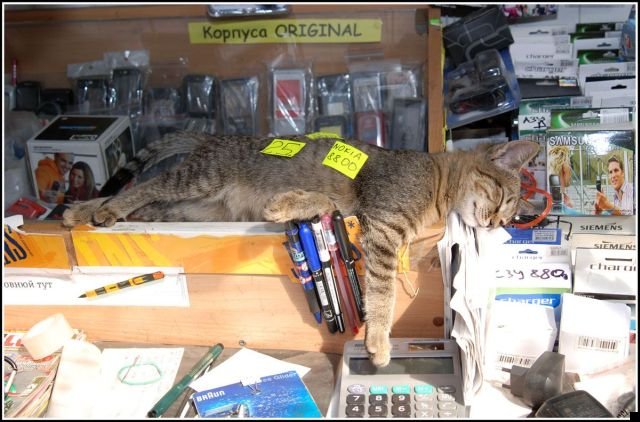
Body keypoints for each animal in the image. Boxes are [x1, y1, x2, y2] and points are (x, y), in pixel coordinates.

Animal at [62, 132, 539, 367]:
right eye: (503, 201)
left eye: (507, 219)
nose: (496, 225)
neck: (437, 181)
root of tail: (212, 136)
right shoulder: (384, 227)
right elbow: (382, 295)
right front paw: (379, 342)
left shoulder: (360, 213)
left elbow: (323, 203)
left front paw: (286, 204)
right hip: (197, 180)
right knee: (143, 187)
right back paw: (98, 208)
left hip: (188, 207)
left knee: (148, 201)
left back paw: (84, 210)